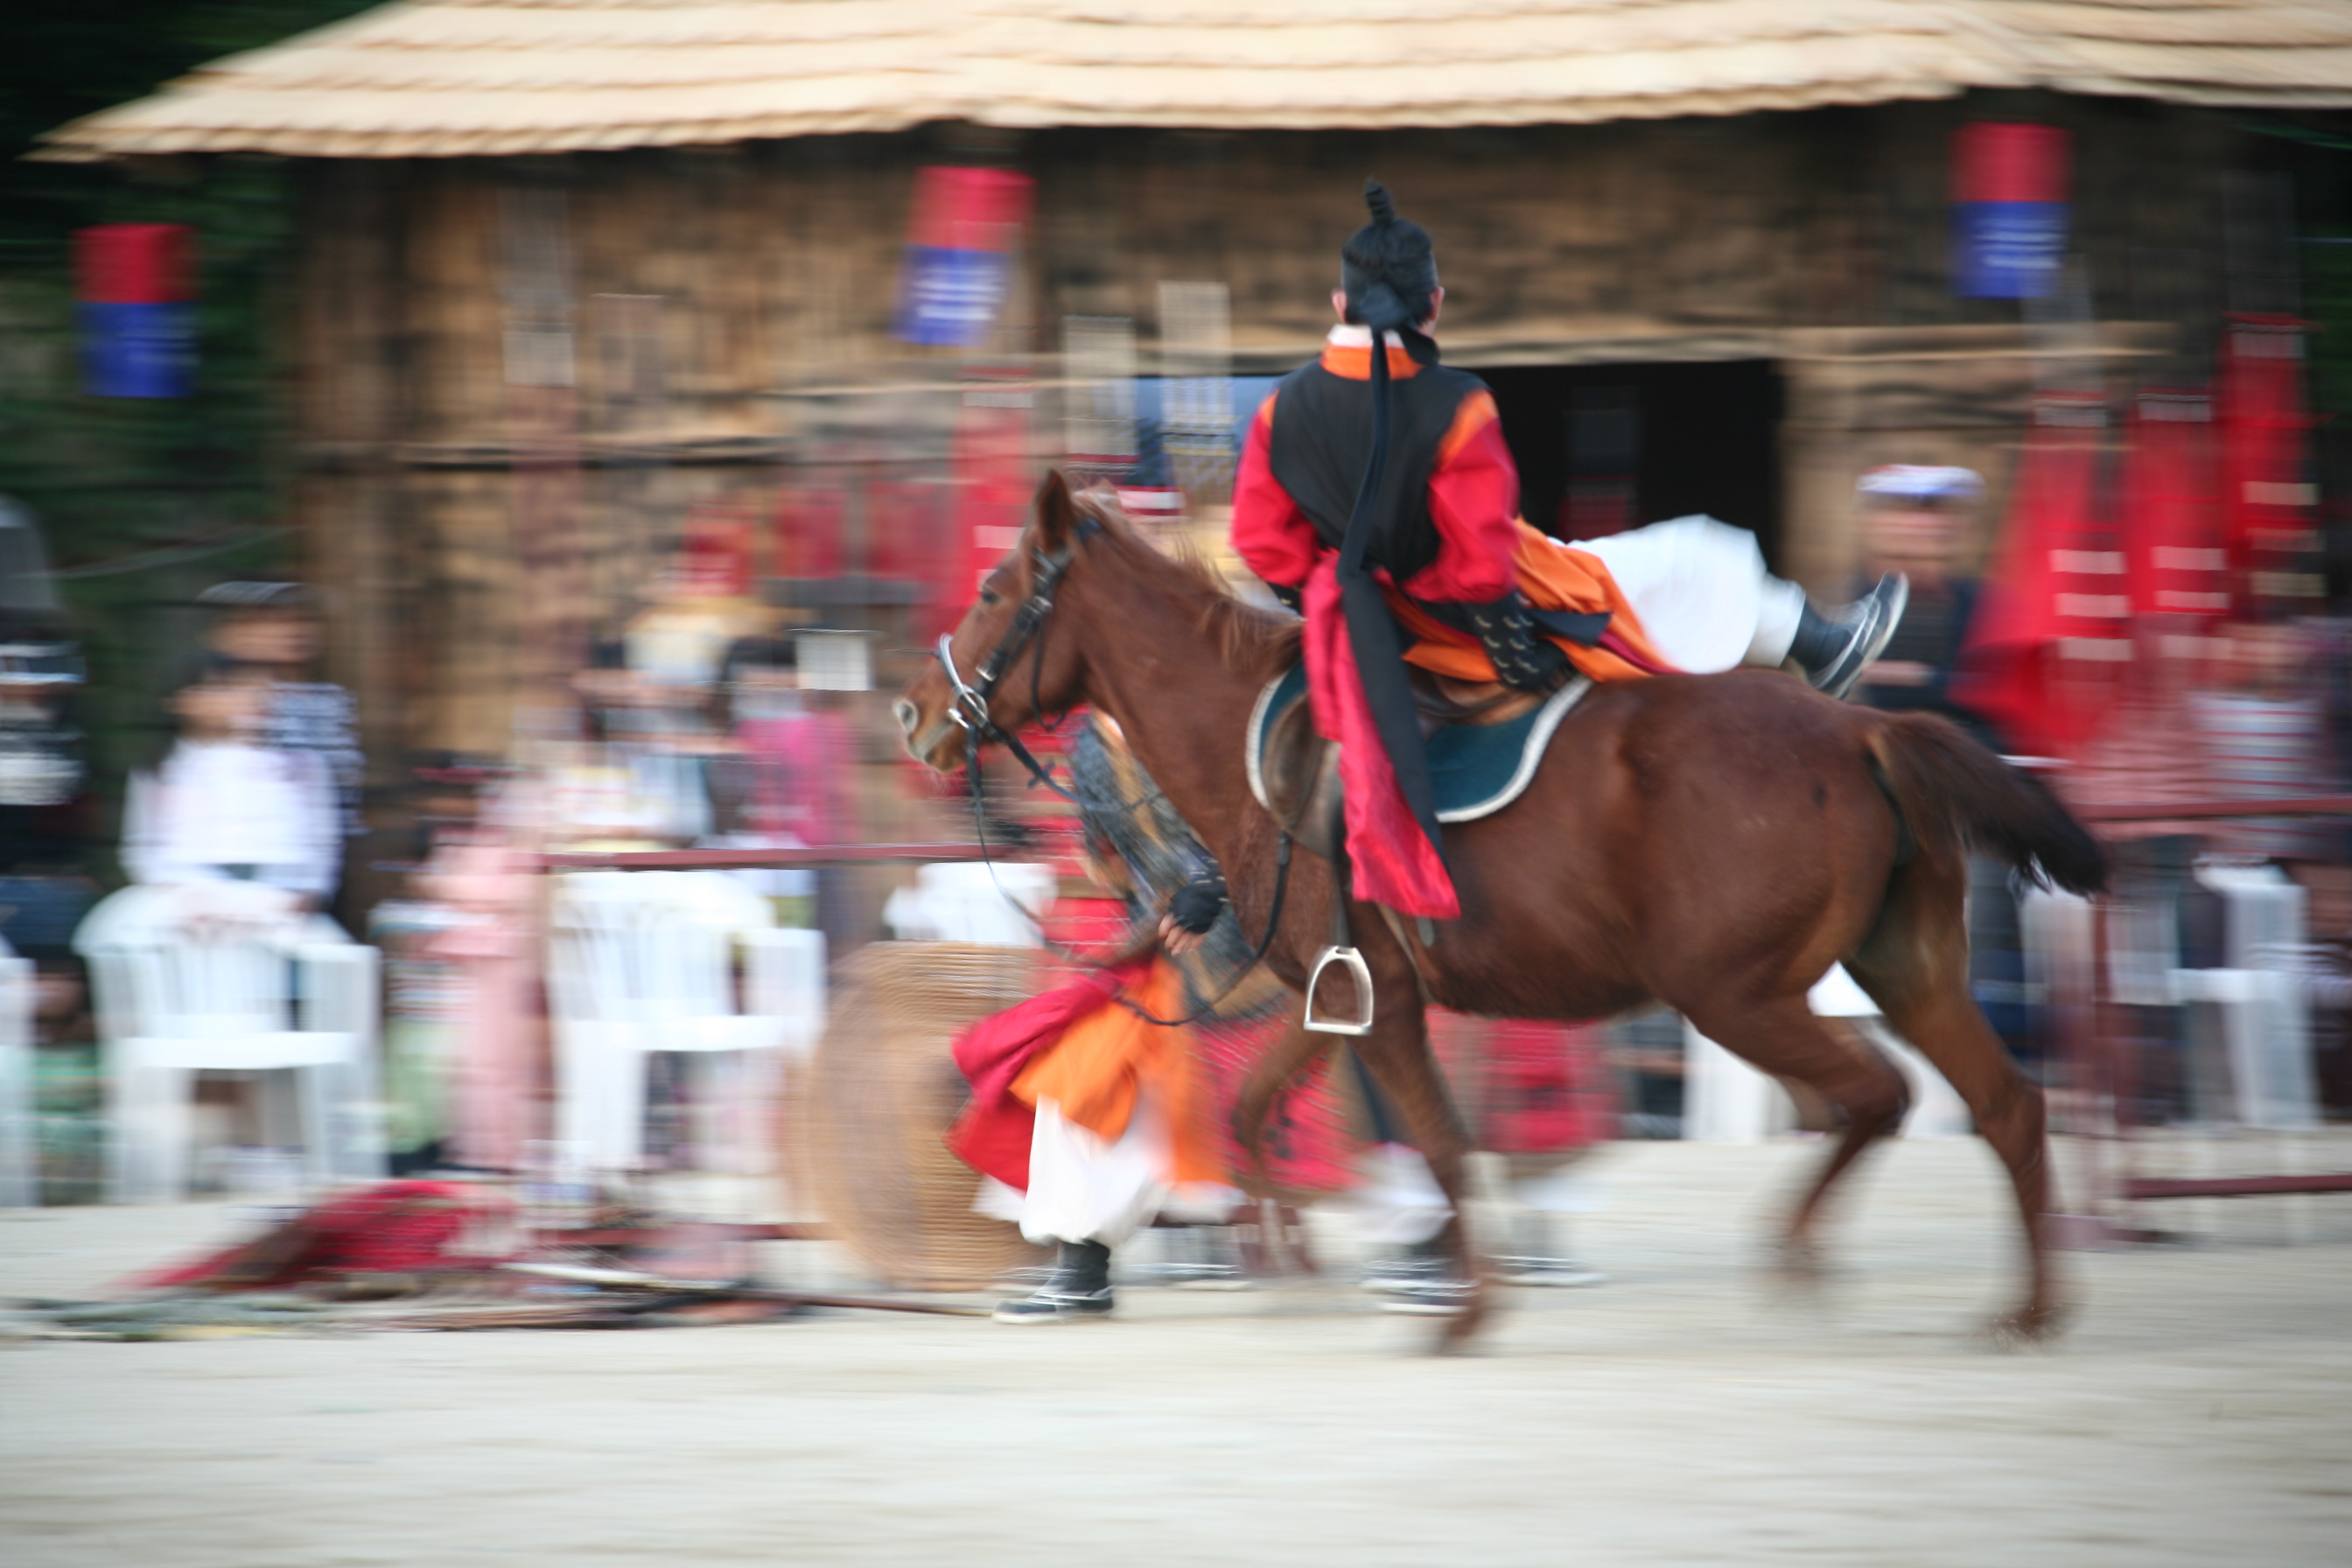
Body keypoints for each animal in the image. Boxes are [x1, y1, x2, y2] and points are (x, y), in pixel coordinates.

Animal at [898, 479, 2117, 1354]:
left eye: (998, 590)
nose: (916, 714)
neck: (1249, 741)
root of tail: (1861, 733)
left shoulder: (1382, 1006)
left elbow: (1440, 1141)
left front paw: (1463, 1304)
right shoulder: (1339, 995)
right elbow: (1253, 1110)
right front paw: (1299, 1250)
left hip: (1734, 992)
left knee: (1877, 1095)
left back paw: (1800, 1254)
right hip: (1906, 967)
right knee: (2005, 1105)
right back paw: (2031, 1309)